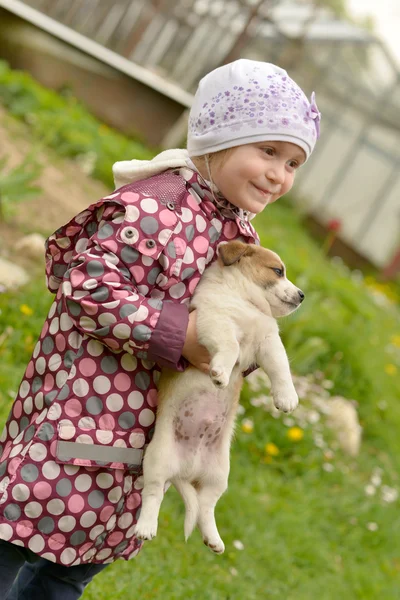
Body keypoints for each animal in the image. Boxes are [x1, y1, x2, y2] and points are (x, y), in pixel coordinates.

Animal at [133, 239, 304, 552]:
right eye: (278, 271)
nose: (302, 295)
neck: (246, 302)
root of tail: (186, 471)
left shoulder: (268, 341)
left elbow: (281, 367)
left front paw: (287, 398)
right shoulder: (215, 323)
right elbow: (231, 347)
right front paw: (221, 373)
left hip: (219, 475)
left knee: (205, 507)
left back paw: (213, 539)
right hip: (157, 460)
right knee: (154, 495)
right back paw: (146, 526)